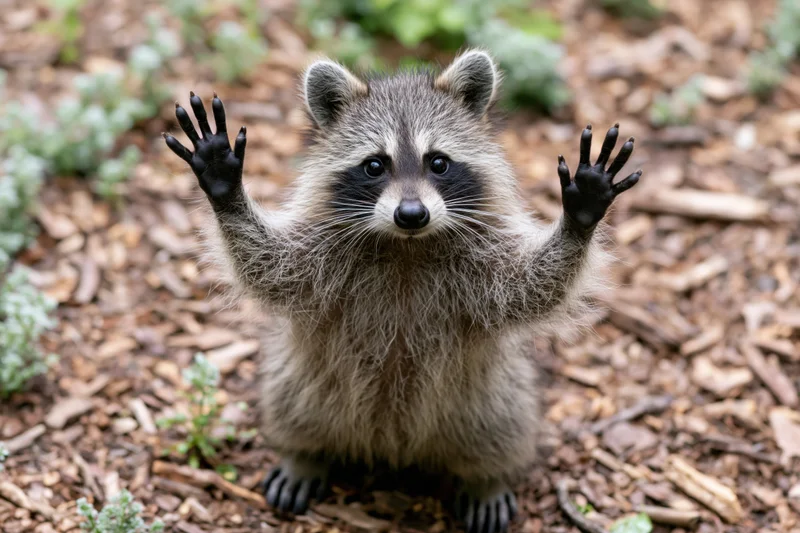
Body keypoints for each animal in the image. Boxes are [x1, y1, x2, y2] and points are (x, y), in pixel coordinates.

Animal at [164, 50, 641, 533]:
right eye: (375, 165)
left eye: (438, 163)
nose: (411, 214)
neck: (406, 246)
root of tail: (396, 450)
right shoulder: (318, 257)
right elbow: (268, 265)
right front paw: (226, 189)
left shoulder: (483, 266)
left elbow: (532, 286)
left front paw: (580, 217)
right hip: (307, 378)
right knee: (293, 403)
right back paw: (303, 454)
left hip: (491, 391)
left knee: (502, 424)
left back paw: (487, 478)